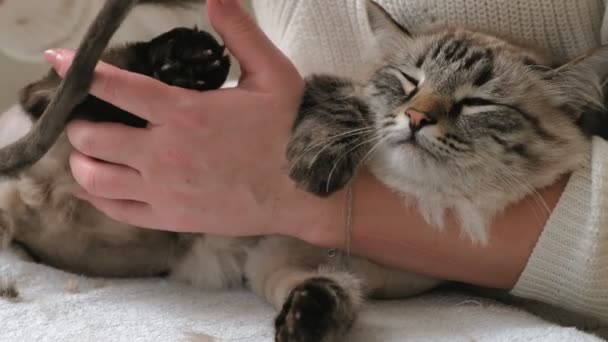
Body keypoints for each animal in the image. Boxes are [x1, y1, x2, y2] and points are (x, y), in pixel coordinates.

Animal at [1, 0, 608, 342]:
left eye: (477, 104)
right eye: (407, 83)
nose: (416, 119)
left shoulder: (280, 263)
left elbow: (324, 289)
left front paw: (310, 321)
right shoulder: (326, 86)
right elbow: (342, 113)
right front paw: (318, 167)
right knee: (61, 87)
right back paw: (188, 58)